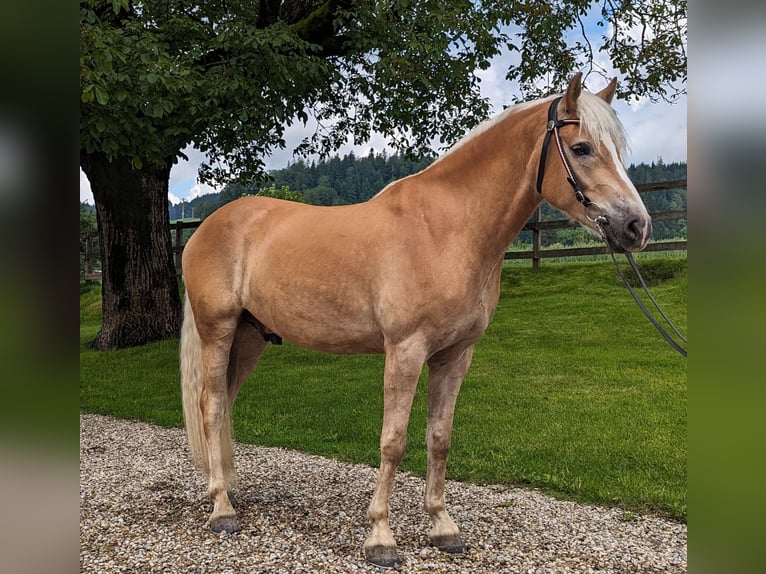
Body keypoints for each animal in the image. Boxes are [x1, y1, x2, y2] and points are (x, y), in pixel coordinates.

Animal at [182, 71, 656, 568]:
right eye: (582, 148)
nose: (636, 227)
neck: (445, 229)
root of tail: (206, 226)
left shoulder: (455, 355)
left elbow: (439, 439)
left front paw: (443, 527)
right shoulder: (405, 350)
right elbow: (393, 441)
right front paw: (381, 537)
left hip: (250, 338)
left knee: (225, 404)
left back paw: (228, 491)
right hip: (219, 330)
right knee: (212, 406)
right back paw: (221, 510)